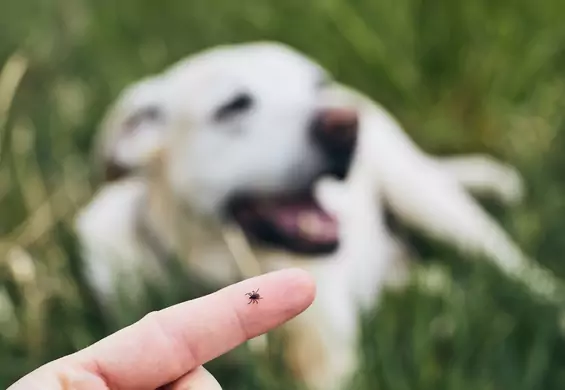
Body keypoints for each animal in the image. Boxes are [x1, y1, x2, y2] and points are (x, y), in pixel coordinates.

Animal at [76, 41, 532, 388]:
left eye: (317, 85)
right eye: (234, 106)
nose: (346, 125)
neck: (220, 267)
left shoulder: (330, 360)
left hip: (425, 198)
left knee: (511, 265)